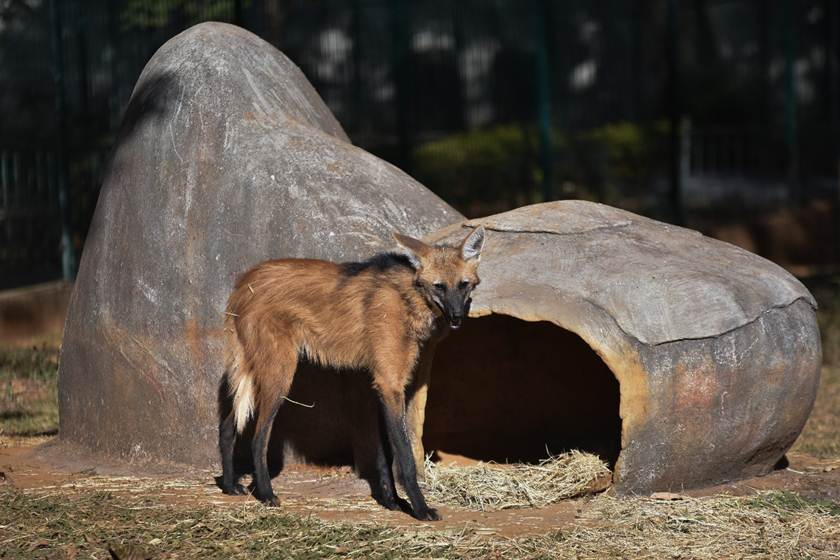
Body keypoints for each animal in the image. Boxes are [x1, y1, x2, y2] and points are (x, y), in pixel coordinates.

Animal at [217, 226, 486, 520]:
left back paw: (230, 485)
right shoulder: (390, 383)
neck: (408, 297)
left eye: (463, 284)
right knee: (257, 438)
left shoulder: (379, 385)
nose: (457, 316)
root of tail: (243, 283)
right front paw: (420, 508)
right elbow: (403, 455)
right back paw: (266, 494)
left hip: (256, 371)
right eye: (439, 286)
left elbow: (384, 453)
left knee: (227, 426)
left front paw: (392, 502)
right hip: (280, 375)